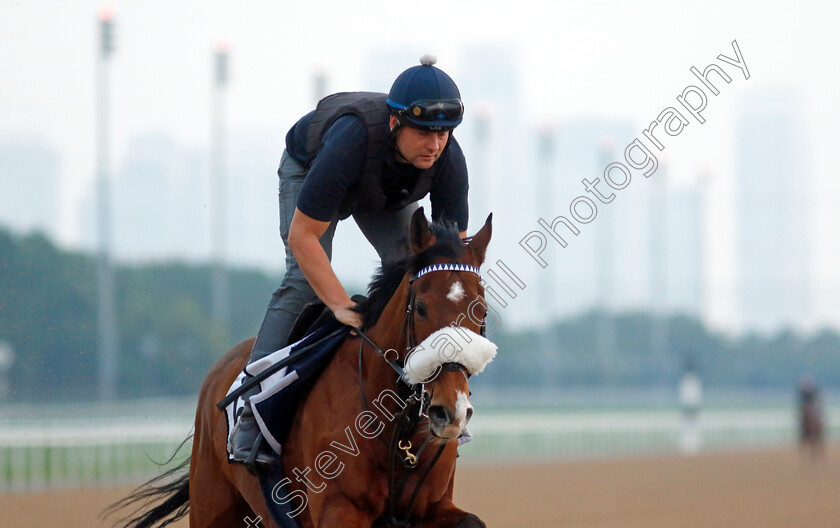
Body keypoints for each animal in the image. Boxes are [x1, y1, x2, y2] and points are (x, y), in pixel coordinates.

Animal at [111, 210, 492, 528]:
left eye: (481, 310)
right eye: (422, 307)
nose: (450, 411)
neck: (398, 432)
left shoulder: (432, 506)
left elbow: (473, 521)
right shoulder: (337, 509)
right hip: (213, 506)